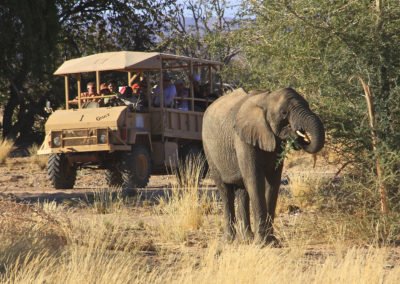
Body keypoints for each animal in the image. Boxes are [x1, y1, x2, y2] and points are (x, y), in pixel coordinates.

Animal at [203, 87, 324, 244]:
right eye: (284, 113)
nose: (300, 135)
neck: (266, 99)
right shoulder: (242, 139)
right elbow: (255, 180)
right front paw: (262, 243)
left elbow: (273, 182)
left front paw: (272, 242)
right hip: (209, 150)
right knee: (225, 191)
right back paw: (229, 241)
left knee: (242, 192)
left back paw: (247, 239)